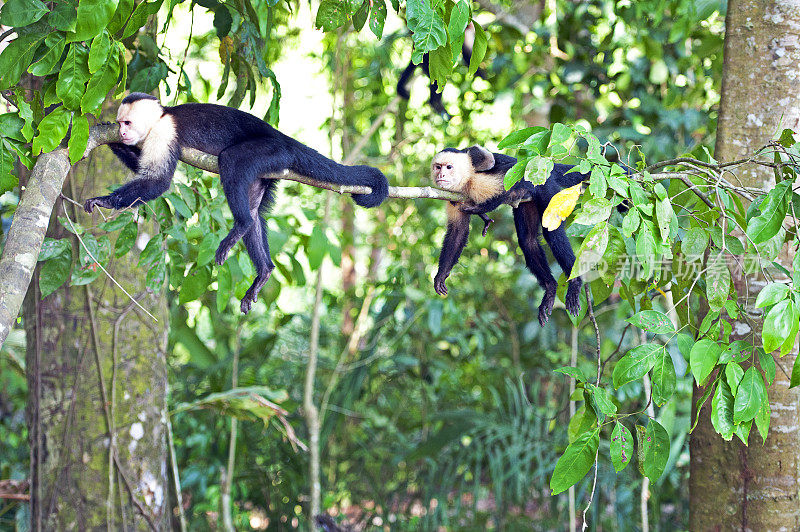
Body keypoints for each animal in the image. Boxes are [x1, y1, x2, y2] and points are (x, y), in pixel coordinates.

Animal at [83, 93, 388, 314]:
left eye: (127, 123)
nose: (122, 133)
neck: (160, 118)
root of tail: (283, 137)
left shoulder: (164, 133)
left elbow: (158, 182)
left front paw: (104, 201)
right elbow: (142, 170)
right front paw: (106, 137)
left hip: (271, 151)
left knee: (231, 162)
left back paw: (240, 226)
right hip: (268, 170)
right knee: (254, 212)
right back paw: (263, 271)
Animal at [432, 148, 588, 326]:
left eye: (449, 167)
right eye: (438, 167)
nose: (441, 175)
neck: (465, 182)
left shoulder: (480, 182)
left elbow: (512, 180)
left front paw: (479, 208)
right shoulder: (453, 196)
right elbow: (458, 232)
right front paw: (441, 275)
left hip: (547, 188)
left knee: (552, 232)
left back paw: (575, 283)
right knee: (527, 240)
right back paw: (550, 288)